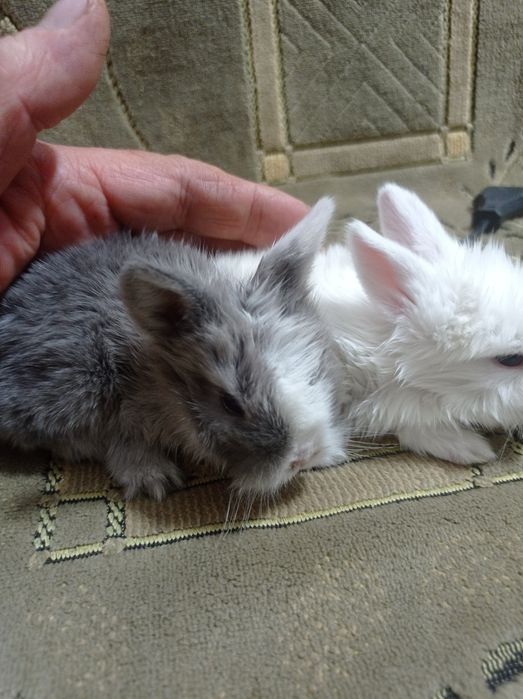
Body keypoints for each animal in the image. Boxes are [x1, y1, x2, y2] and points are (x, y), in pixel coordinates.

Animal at [0, 198, 349, 500]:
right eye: (230, 404)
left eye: (315, 372)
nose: (303, 456)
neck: (154, 375)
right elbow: (116, 441)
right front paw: (153, 479)